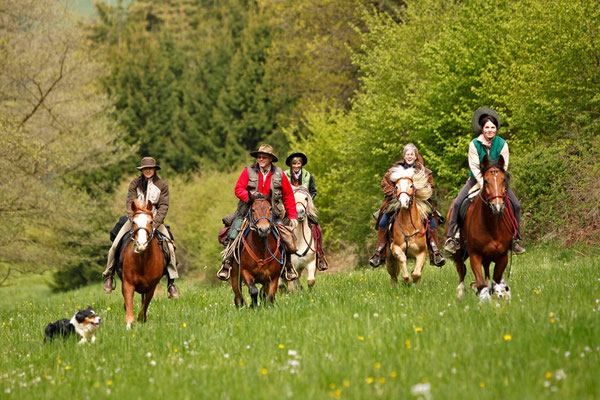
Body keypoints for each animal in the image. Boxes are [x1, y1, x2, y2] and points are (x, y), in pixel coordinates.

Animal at [119, 199, 164, 328]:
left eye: (151, 221)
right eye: (134, 222)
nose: (141, 244)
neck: (143, 261)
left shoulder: (151, 287)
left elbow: (144, 307)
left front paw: (142, 319)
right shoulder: (128, 284)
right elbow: (129, 308)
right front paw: (129, 326)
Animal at [446, 155, 516, 298]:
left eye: (503, 179)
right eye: (486, 180)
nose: (497, 206)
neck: (492, 226)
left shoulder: (503, 257)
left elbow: (496, 281)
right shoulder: (475, 255)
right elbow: (480, 283)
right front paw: (477, 289)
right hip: (458, 252)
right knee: (461, 271)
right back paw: (461, 292)